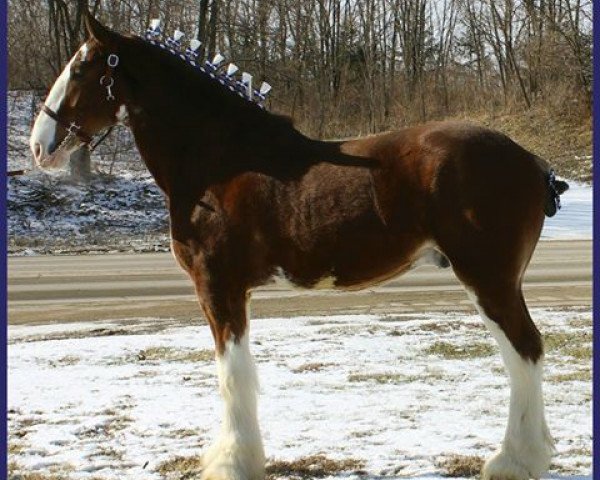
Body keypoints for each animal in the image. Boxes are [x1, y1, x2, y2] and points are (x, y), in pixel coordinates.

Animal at [29, 11, 572, 480]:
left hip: (489, 281)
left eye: (80, 68)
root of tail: (534, 163)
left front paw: (233, 463)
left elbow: (233, 375)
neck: (218, 160)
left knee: (525, 351)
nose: (39, 143)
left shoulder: (218, 287)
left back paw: (513, 461)